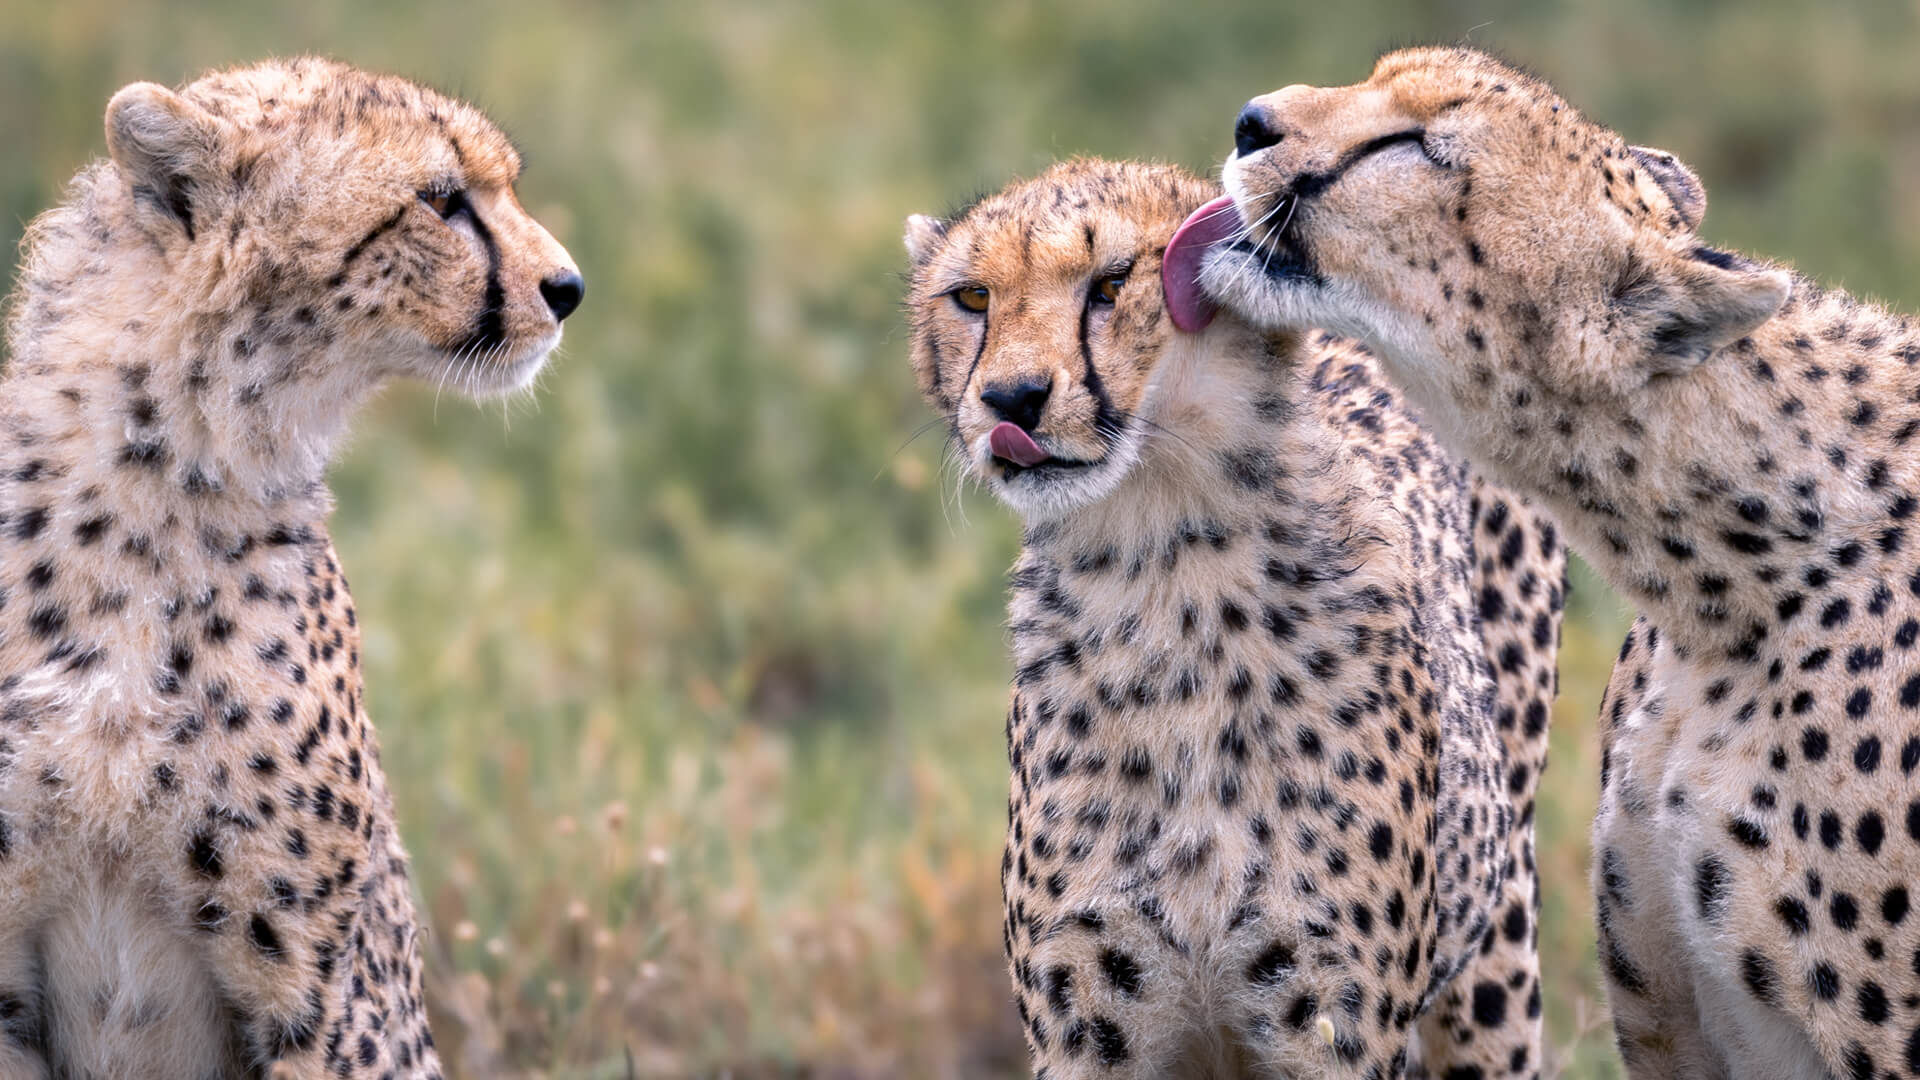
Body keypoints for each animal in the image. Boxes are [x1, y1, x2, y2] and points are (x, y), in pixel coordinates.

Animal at [904, 157, 1565, 1079]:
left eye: (1112, 282)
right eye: (971, 297)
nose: (1013, 398)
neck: (1161, 559)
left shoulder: (1336, 1027)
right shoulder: (1087, 1031)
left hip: (1495, 947)